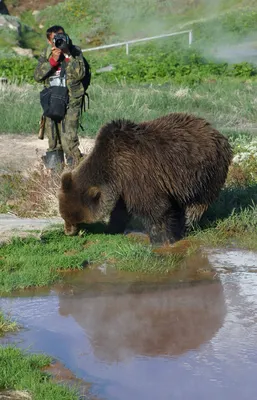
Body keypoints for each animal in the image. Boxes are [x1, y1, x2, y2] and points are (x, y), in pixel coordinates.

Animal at [57, 112, 232, 244]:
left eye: (71, 217)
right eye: (63, 215)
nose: (68, 231)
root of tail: (219, 134)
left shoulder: (139, 175)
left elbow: (155, 208)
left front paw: (162, 239)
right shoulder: (123, 188)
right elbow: (120, 211)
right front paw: (112, 227)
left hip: (203, 173)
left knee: (197, 203)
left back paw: (186, 225)